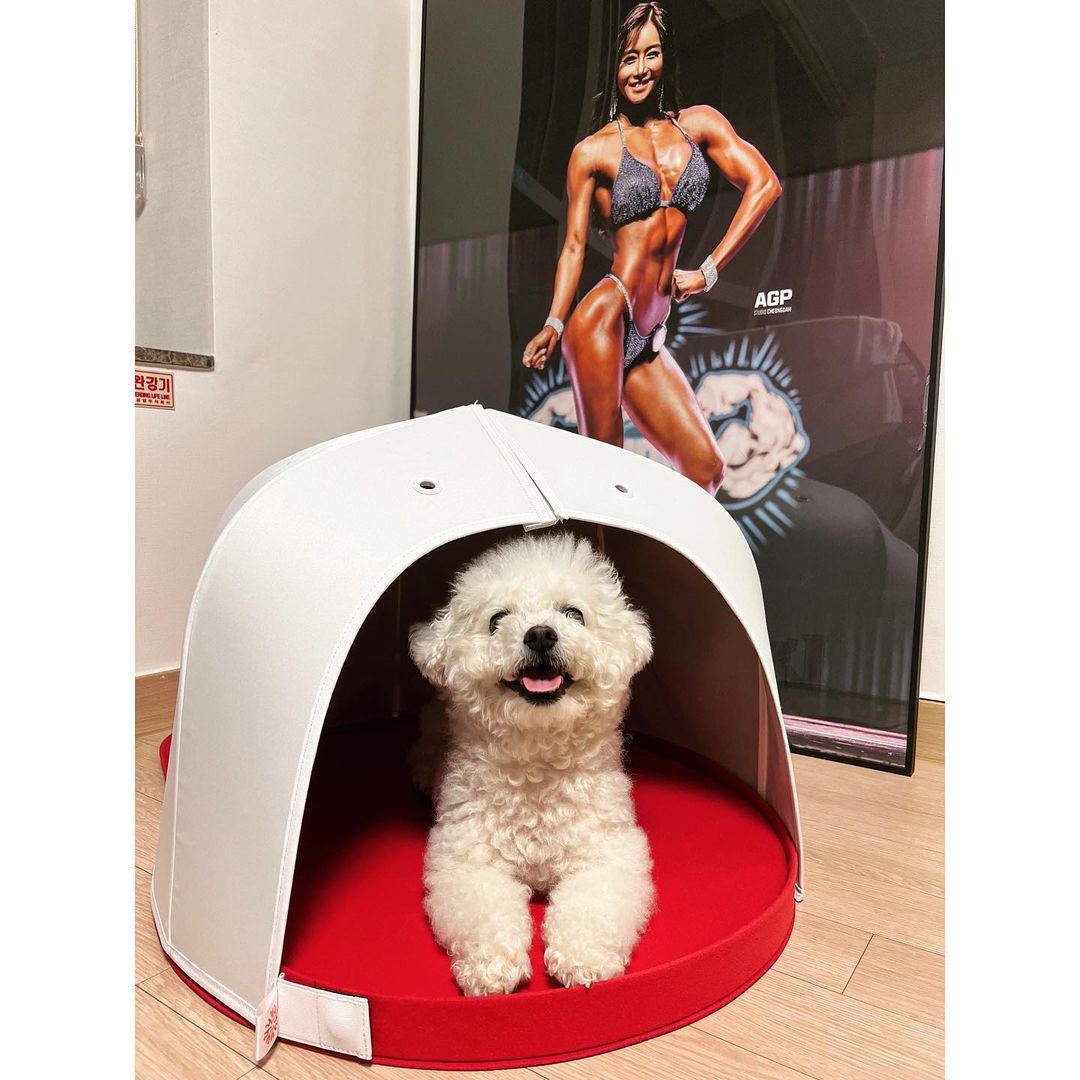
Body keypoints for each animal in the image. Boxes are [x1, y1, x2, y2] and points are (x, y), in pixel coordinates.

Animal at [407, 532, 655, 996]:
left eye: (574, 613)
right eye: (496, 619)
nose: (540, 634)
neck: (538, 766)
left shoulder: (609, 854)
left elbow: (592, 905)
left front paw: (583, 958)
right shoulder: (468, 859)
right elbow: (486, 910)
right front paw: (490, 966)